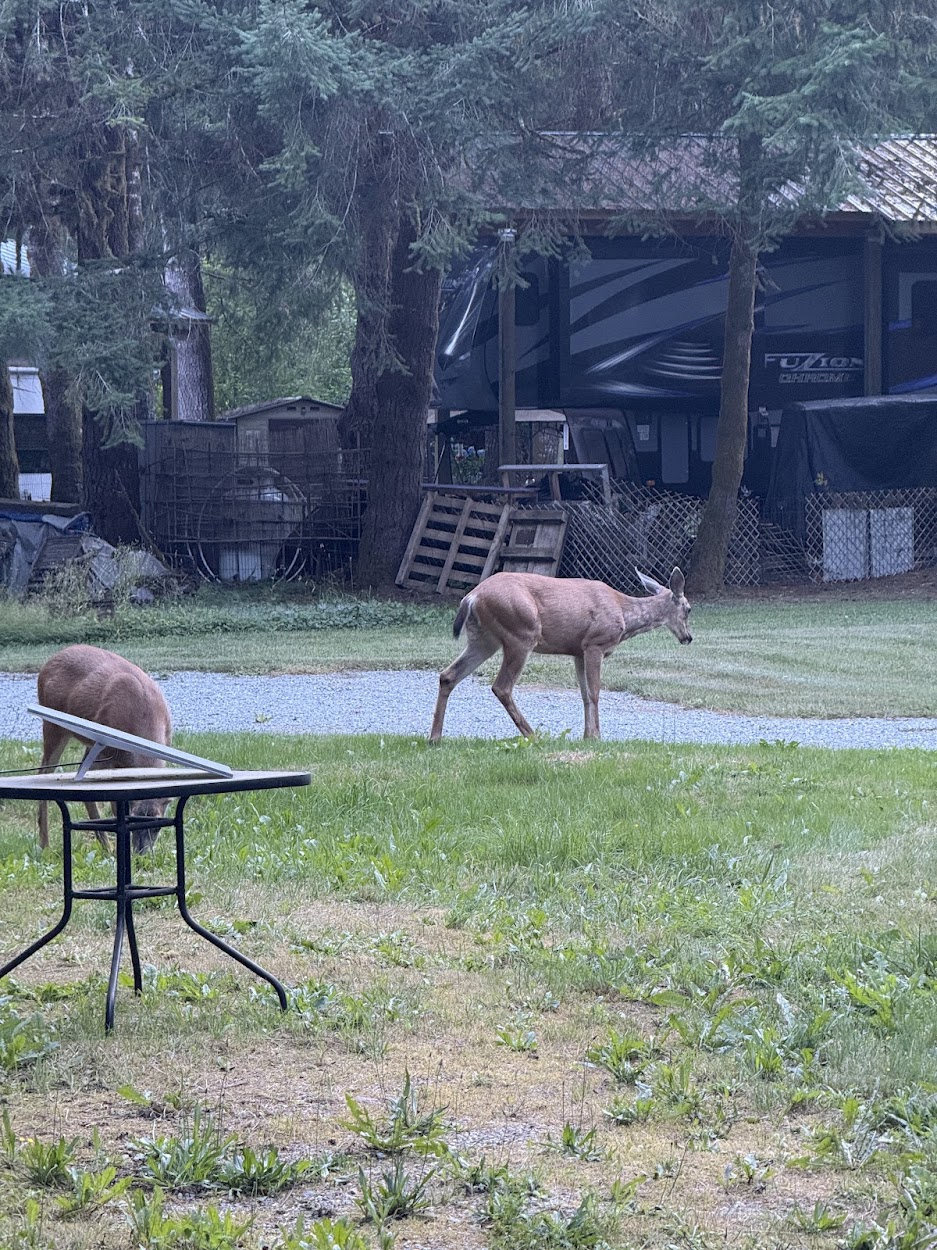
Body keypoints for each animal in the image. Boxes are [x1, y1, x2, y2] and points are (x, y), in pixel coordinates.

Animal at [36, 645, 174, 853]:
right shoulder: (106, 755)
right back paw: (46, 844)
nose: (142, 854)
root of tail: (48, 663)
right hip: (54, 727)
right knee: (44, 771)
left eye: (157, 826)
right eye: (133, 821)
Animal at [430, 568, 692, 742]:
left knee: (448, 675)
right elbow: (595, 693)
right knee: (501, 686)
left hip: (484, 639)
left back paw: (435, 737)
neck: (624, 613)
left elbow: (584, 695)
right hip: (521, 632)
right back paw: (533, 735)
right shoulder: (595, 644)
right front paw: (597, 736)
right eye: (689, 609)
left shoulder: (578, 651)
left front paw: (587, 736)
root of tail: (471, 597)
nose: (688, 638)